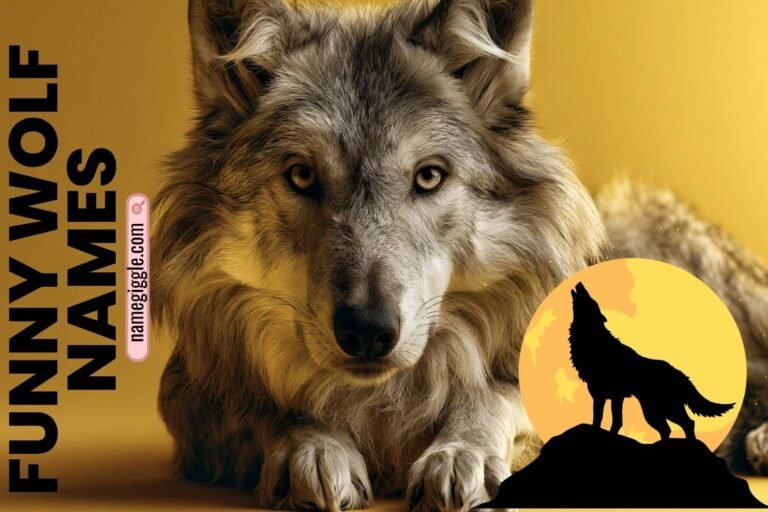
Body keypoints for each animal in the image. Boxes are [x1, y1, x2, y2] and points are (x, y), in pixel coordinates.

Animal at [568, 282, 734, 441]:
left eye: (591, 300)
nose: (580, 283)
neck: (596, 341)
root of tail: (680, 374)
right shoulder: (608, 396)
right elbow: (608, 421)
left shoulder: (607, 395)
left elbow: (606, 420)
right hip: (654, 411)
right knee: (668, 429)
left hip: (662, 409)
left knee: (687, 423)